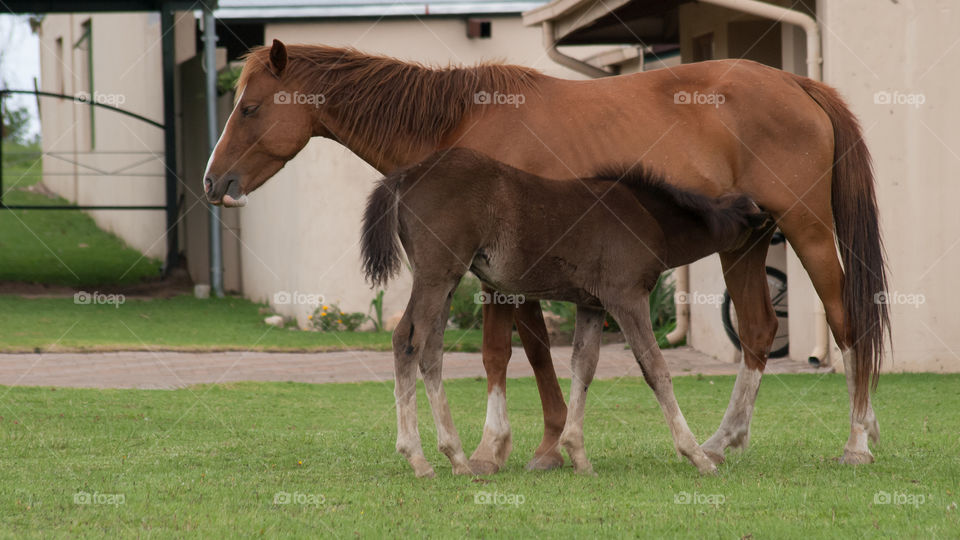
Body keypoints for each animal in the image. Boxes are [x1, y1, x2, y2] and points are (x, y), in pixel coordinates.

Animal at [360, 148, 772, 477]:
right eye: (761, 232)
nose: (773, 244)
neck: (646, 214)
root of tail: (406, 175)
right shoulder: (626, 298)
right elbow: (655, 368)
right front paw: (698, 456)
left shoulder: (591, 304)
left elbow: (583, 366)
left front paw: (578, 456)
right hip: (436, 276)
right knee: (407, 340)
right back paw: (417, 457)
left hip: (445, 281)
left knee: (430, 351)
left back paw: (458, 458)